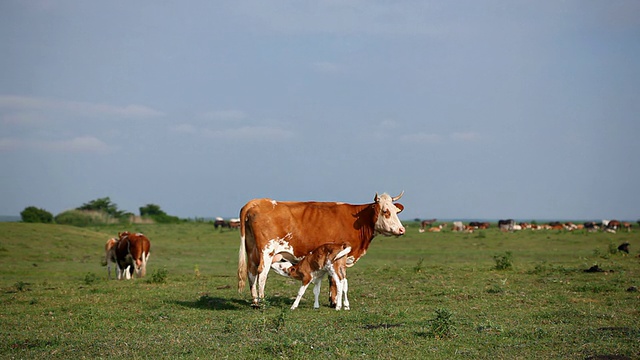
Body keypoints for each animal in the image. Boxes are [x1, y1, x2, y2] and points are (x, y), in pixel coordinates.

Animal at [235, 191, 404, 306]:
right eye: (385, 211)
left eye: (396, 211)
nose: (402, 230)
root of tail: (256, 202)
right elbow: (335, 279)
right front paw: (335, 303)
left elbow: (332, 279)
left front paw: (332, 301)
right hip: (267, 251)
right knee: (262, 273)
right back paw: (262, 302)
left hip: (252, 251)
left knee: (251, 272)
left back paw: (255, 301)